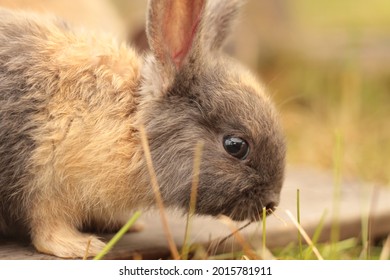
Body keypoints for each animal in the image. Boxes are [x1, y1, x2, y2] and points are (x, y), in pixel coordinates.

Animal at [0, 0, 286, 258]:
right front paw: (81, 246)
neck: (132, 125)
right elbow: (47, 226)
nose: (271, 205)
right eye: (236, 146)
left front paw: (123, 225)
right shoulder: (43, 179)